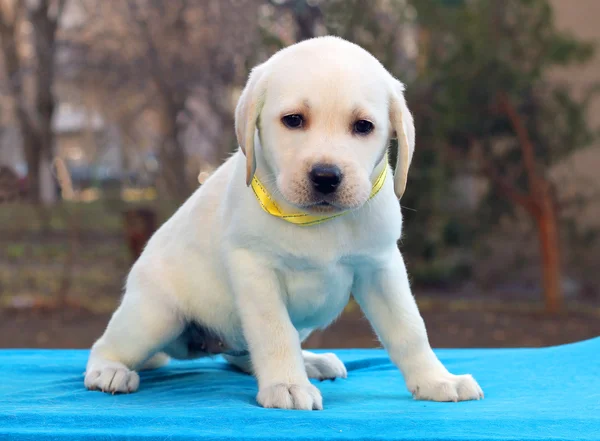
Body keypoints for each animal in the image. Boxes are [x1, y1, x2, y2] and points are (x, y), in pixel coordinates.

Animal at [85, 35, 482, 410]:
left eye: (363, 126)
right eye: (293, 120)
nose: (326, 176)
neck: (316, 220)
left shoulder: (381, 266)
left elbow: (409, 329)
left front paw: (436, 380)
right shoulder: (256, 271)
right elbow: (275, 332)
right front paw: (286, 386)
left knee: (242, 355)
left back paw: (309, 363)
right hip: (156, 315)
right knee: (103, 345)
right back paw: (110, 371)